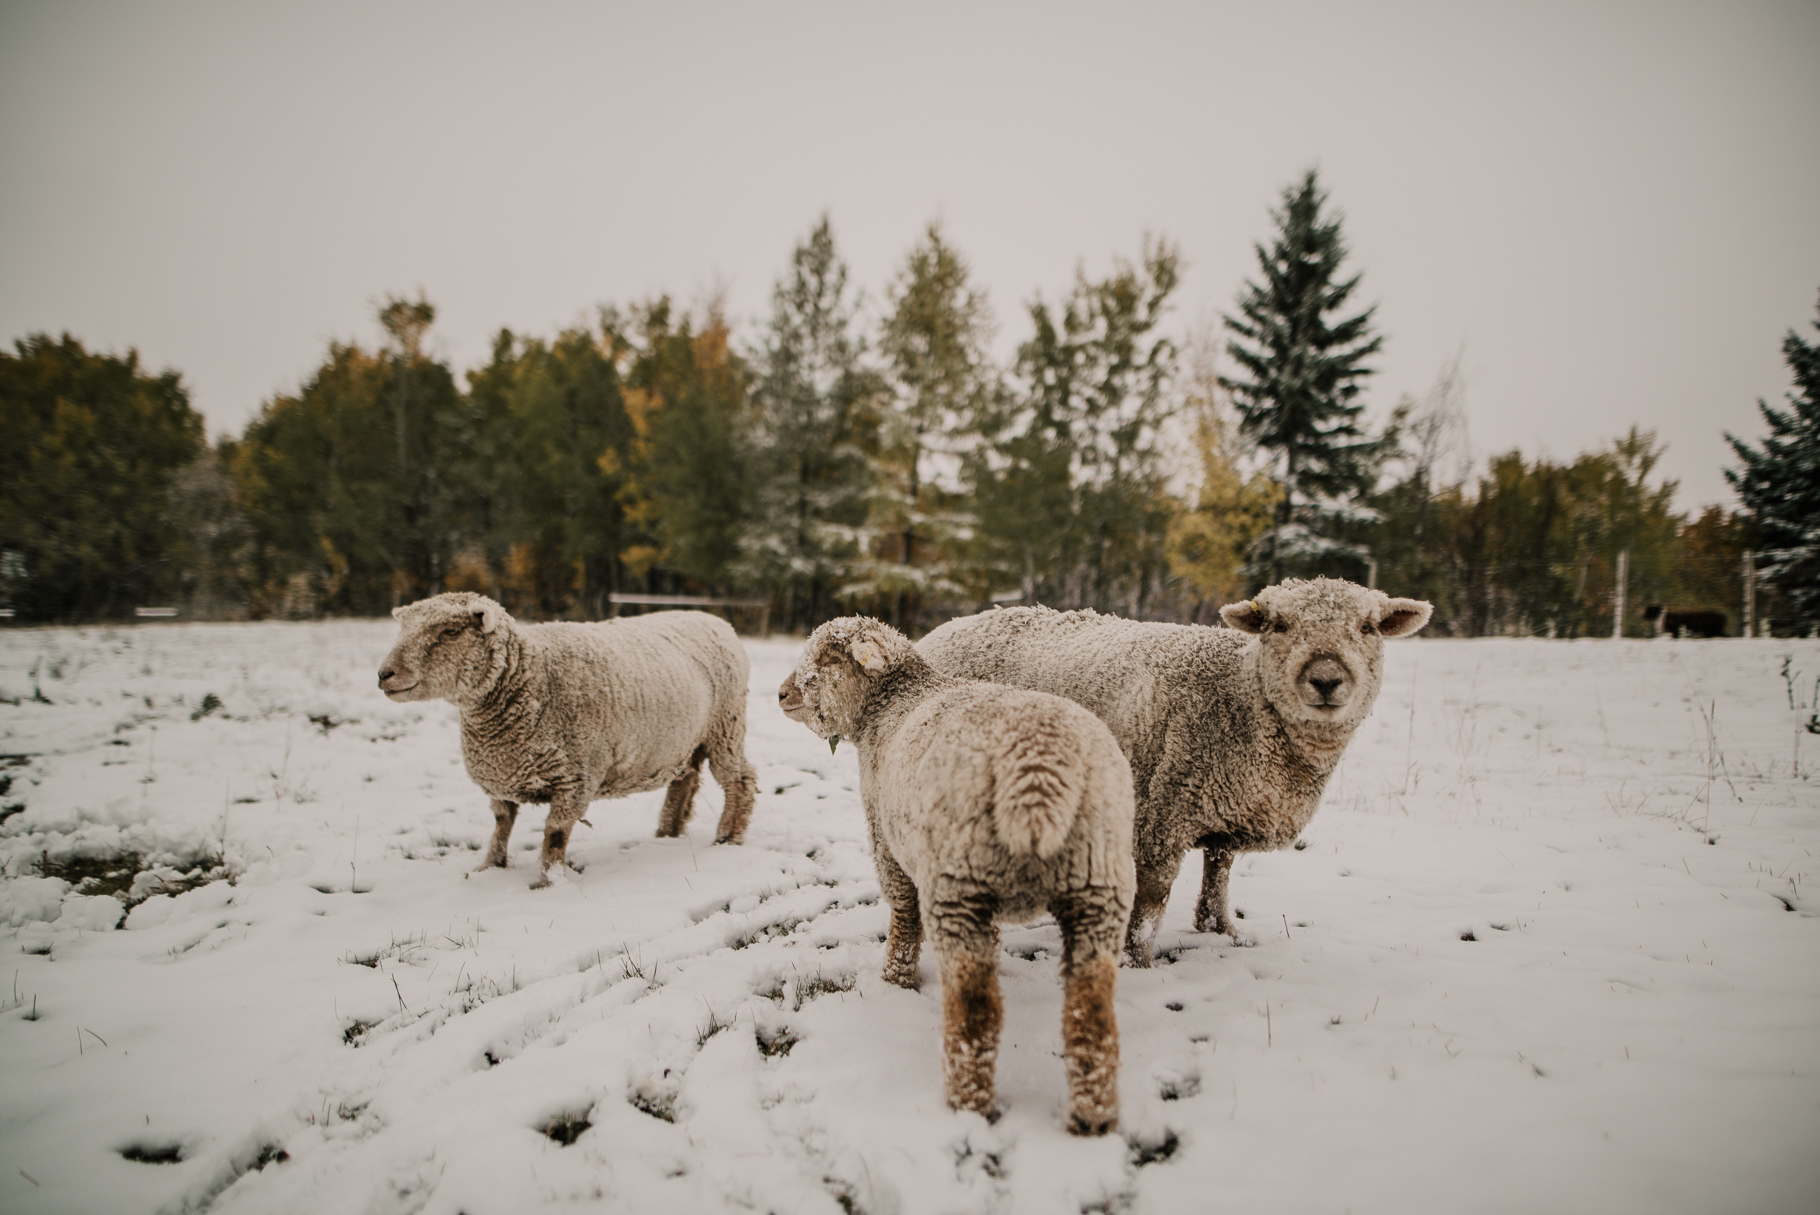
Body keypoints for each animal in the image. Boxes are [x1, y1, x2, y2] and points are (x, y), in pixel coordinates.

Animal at [376, 589, 753, 883]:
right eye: (403, 627)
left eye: (451, 631)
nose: (384, 674)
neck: (529, 679)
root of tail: (716, 620)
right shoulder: (503, 777)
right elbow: (501, 826)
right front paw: (489, 868)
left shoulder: (575, 778)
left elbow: (554, 834)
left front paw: (548, 882)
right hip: (685, 741)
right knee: (684, 782)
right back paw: (667, 832)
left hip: (726, 726)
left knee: (741, 779)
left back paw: (728, 837)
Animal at [775, 622, 1128, 1134]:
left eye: (830, 658)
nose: (781, 695)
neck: (893, 705)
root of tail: (1038, 764)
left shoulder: (888, 844)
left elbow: (903, 915)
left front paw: (895, 980)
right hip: (1096, 887)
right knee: (1092, 1012)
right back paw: (1092, 1118)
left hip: (959, 884)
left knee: (974, 1009)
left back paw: (967, 1104)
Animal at [924, 578, 1434, 967]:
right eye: (1280, 625)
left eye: (1368, 627)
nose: (1326, 680)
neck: (1245, 697)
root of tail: (937, 633)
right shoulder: (1166, 811)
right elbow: (1152, 901)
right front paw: (1137, 960)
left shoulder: (1225, 807)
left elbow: (1218, 874)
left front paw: (1220, 930)